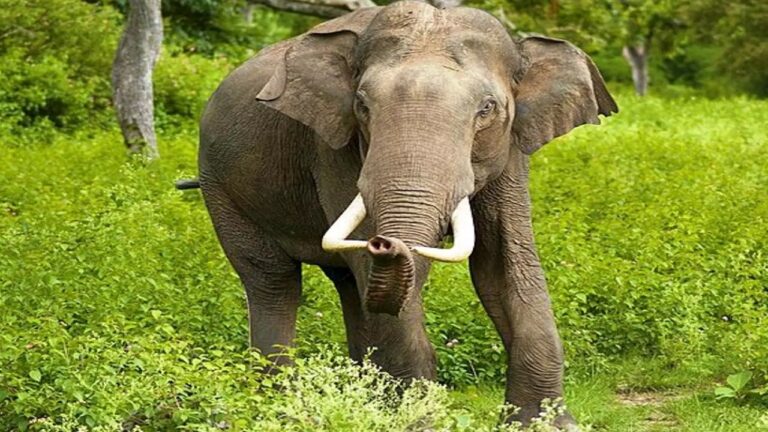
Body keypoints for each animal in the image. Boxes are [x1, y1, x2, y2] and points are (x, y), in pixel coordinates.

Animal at [193, 1, 617, 428]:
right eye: (362, 106)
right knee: (273, 281)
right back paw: (280, 407)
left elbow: (503, 266)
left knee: (349, 285)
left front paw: (544, 424)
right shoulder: (334, 148)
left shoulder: (511, 149)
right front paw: (416, 420)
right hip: (220, 187)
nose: (384, 242)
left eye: (487, 109)